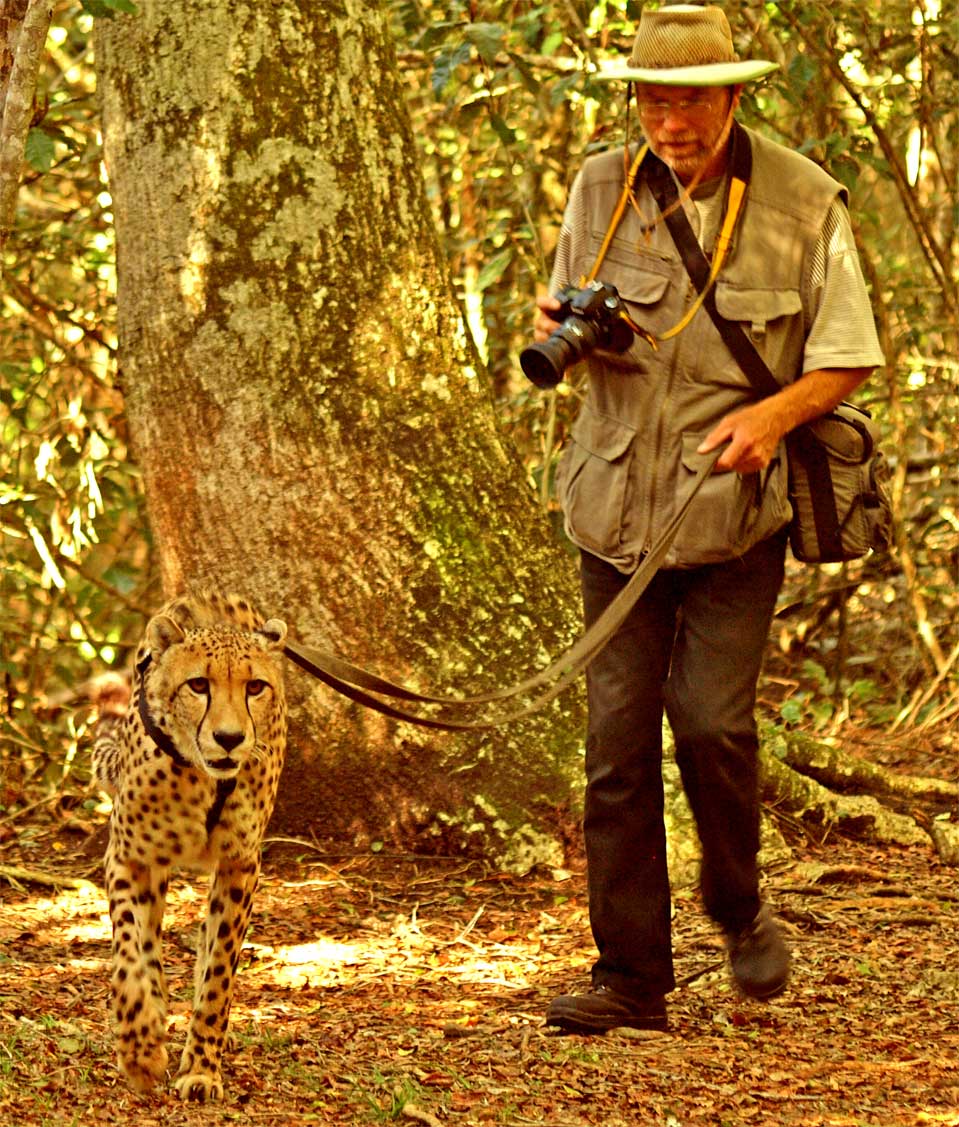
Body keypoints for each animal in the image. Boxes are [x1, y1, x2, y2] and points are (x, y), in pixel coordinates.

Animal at [93, 590, 288, 1099]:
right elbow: (130, 953)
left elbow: (219, 971)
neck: (201, 779)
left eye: (255, 687)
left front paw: (200, 1067)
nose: (230, 738)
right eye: (198, 684)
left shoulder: (241, 865)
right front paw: (141, 1049)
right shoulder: (128, 857)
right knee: (150, 942)